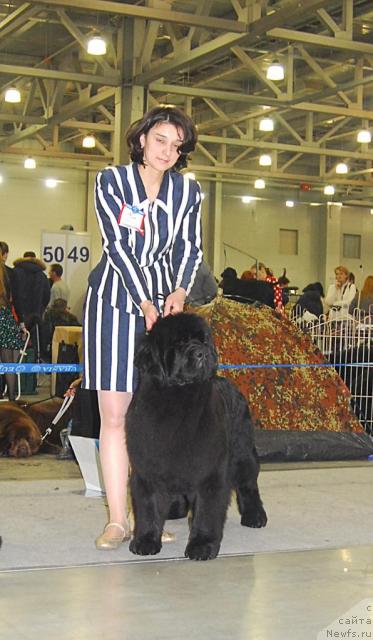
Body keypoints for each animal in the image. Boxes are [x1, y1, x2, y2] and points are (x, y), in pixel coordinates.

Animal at [126, 312, 266, 560]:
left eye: (203, 340)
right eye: (179, 343)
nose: (202, 353)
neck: (178, 400)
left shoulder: (209, 471)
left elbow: (206, 511)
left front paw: (202, 546)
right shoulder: (148, 469)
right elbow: (148, 507)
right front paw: (145, 541)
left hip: (243, 451)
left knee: (248, 483)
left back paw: (255, 516)